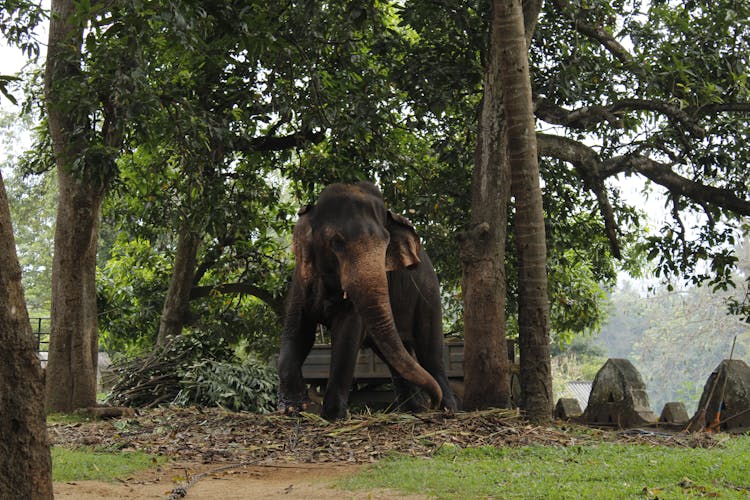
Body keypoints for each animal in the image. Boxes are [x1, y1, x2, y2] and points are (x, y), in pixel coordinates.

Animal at [276, 182, 458, 420]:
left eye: (387, 243)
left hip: (429, 292)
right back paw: (415, 409)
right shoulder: (301, 276)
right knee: (395, 354)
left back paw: (447, 409)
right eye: (336, 242)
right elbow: (298, 329)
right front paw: (294, 408)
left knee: (429, 347)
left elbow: (347, 334)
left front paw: (333, 416)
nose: (433, 403)